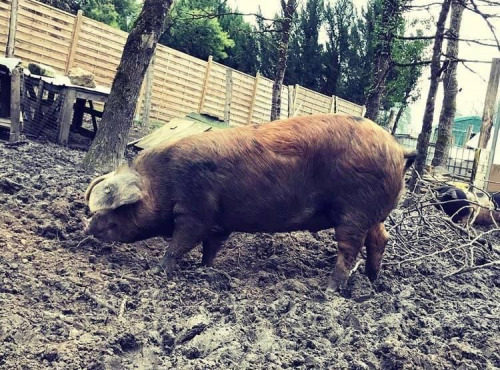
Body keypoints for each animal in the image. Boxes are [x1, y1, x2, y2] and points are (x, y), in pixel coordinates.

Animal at [84, 114, 416, 290]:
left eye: (118, 210)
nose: (86, 225)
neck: (161, 183)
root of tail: (398, 150)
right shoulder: (220, 223)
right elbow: (211, 247)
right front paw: (204, 270)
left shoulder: (196, 211)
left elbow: (181, 242)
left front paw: (156, 271)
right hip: (372, 212)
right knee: (381, 238)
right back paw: (372, 281)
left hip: (354, 209)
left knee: (351, 246)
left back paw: (331, 287)